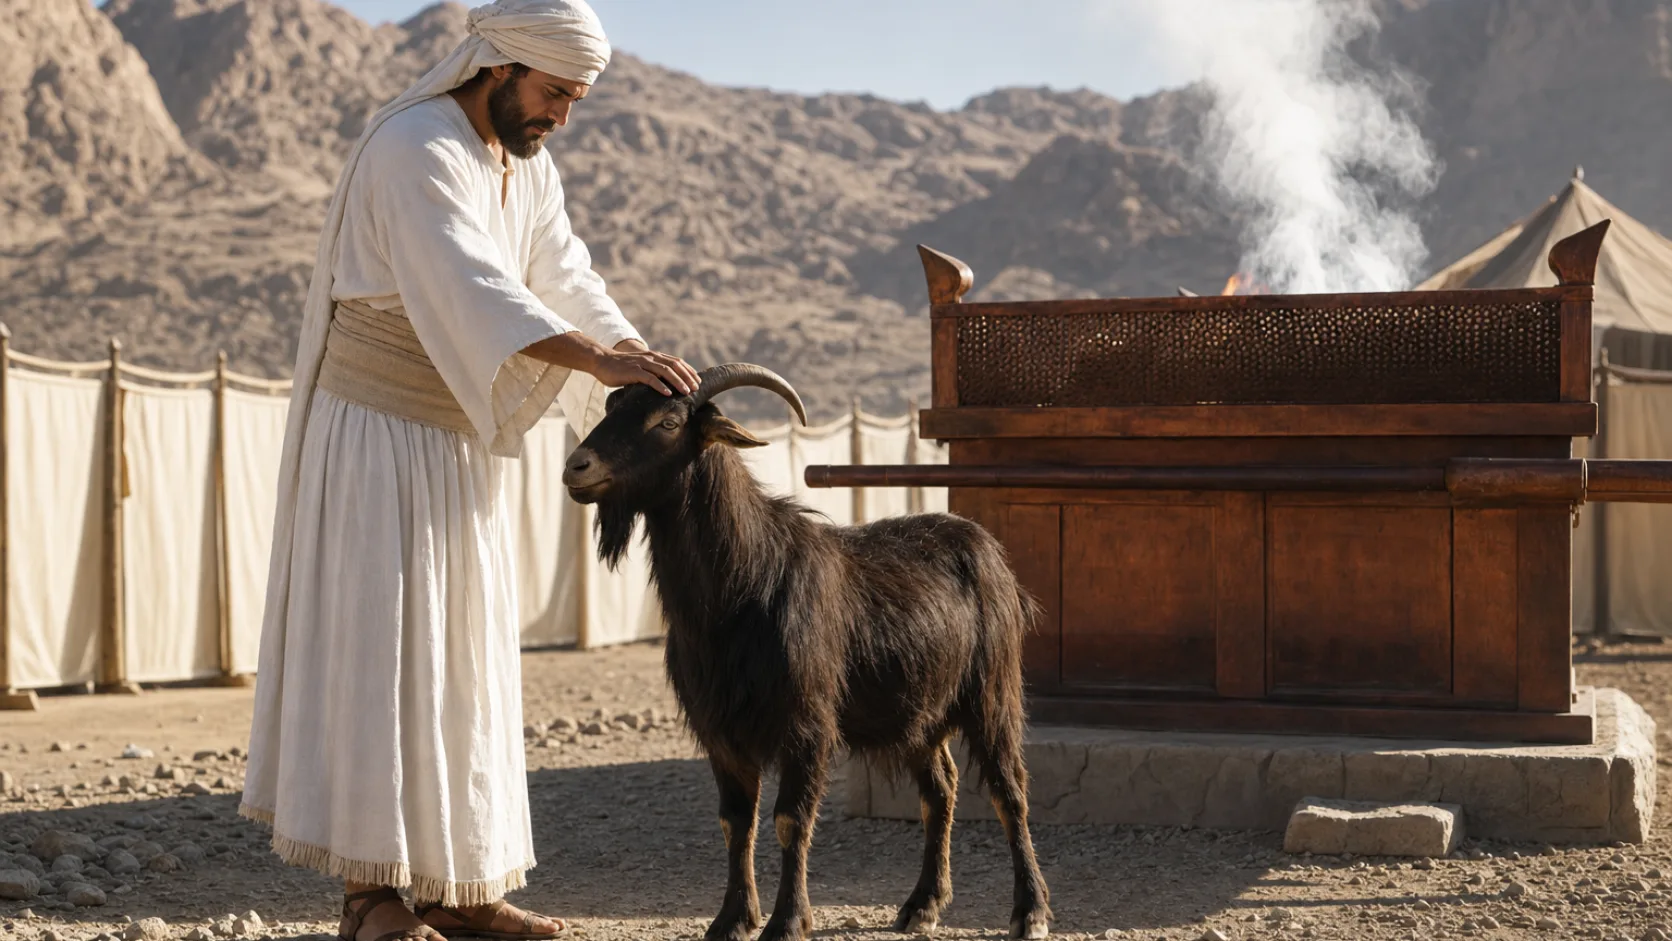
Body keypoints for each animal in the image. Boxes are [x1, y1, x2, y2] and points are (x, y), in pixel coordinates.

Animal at [562, 364, 1051, 941]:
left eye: (668, 421)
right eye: (613, 406)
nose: (576, 466)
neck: (742, 585)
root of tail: (991, 554)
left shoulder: (806, 725)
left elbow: (788, 819)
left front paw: (787, 920)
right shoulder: (721, 731)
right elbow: (735, 822)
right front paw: (732, 919)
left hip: (993, 693)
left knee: (1009, 791)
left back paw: (1030, 912)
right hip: (918, 716)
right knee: (940, 790)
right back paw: (921, 906)